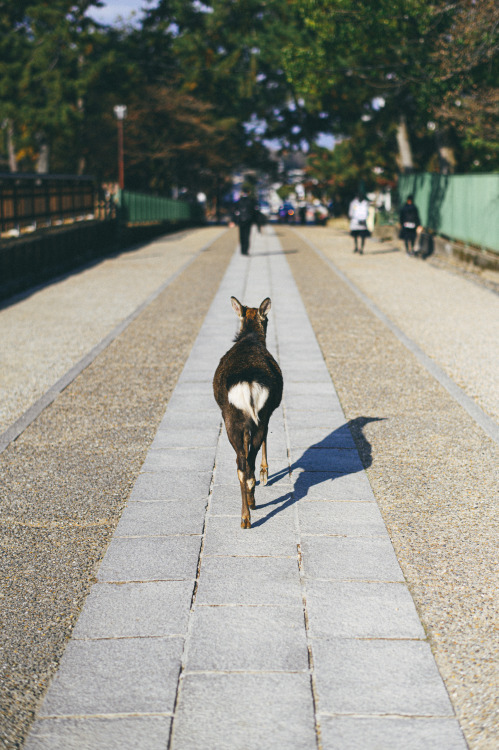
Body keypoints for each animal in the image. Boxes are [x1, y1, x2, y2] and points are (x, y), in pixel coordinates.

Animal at [213, 296, 284, 532]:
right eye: (267, 319)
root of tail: (249, 382)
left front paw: (265, 474)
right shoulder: (268, 411)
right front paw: (266, 474)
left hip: (233, 417)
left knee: (243, 465)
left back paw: (247, 514)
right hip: (252, 416)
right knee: (245, 463)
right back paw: (249, 510)